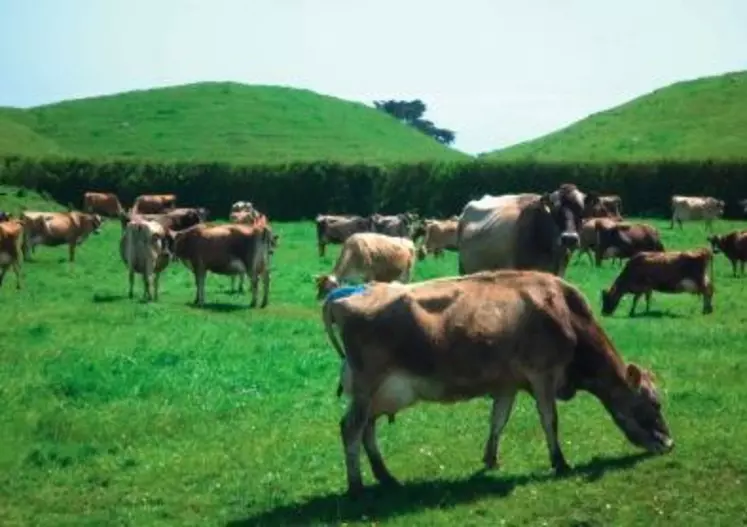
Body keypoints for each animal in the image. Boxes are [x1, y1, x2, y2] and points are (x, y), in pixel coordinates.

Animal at [324, 270, 676, 498]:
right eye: (654, 403)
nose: (670, 443)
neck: (564, 312)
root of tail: (346, 294)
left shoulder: (508, 383)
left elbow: (498, 421)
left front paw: (491, 460)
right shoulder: (543, 374)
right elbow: (550, 420)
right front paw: (560, 463)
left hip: (376, 393)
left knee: (367, 429)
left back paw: (386, 478)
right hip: (368, 384)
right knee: (351, 428)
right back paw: (356, 486)